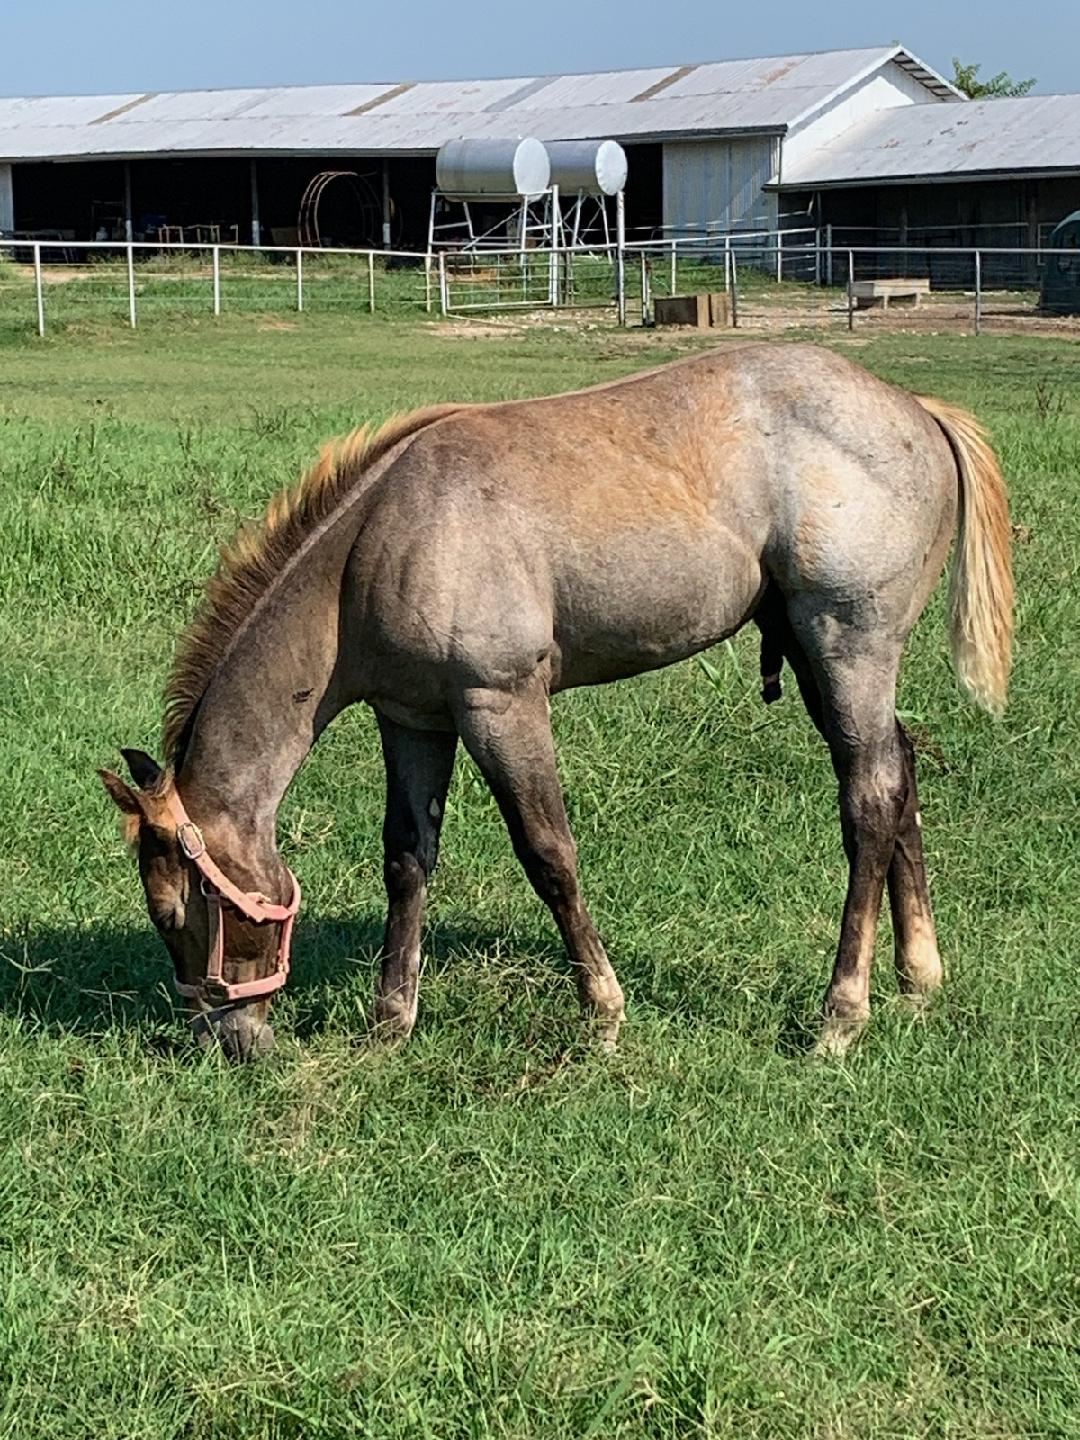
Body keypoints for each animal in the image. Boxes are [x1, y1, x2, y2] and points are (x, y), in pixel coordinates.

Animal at [99, 339, 1013, 1059]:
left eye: (175, 912)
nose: (227, 1038)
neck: (377, 544)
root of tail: (918, 410)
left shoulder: (500, 704)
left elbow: (548, 854)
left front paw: (602, 1012)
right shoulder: (414, 719)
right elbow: (407, 859)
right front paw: (391, 1021)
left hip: (846, 645)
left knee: (869, 800)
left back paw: (840, 1014)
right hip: (814, 650)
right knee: (898, 776)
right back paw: (917, 980)